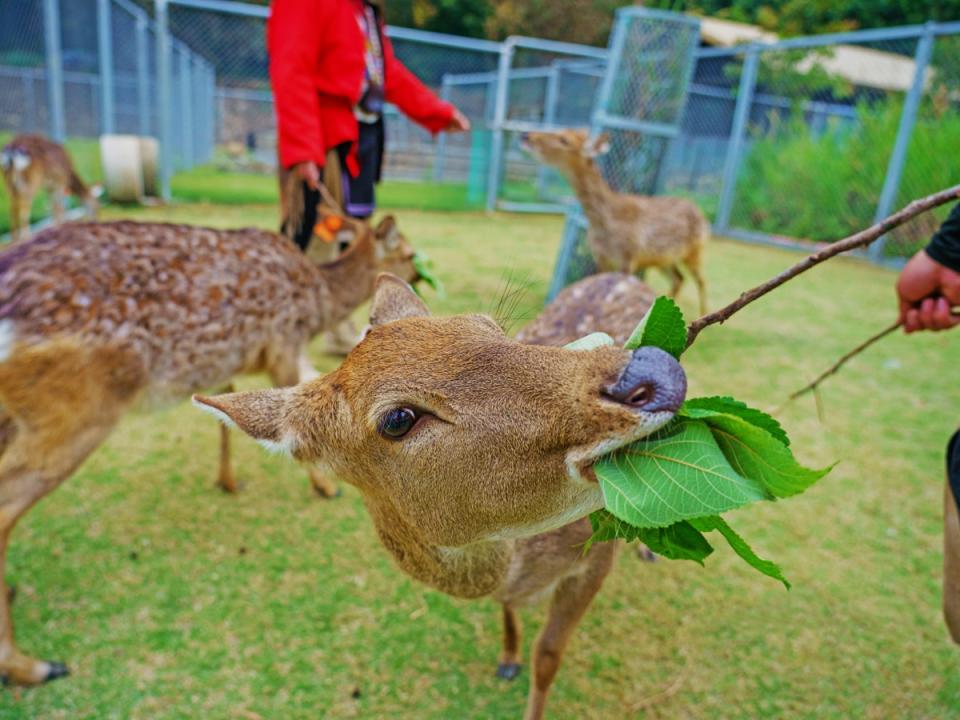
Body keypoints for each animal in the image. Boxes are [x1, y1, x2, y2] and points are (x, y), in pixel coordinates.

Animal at [0, 215, 420, 688]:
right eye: (408, 252)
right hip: (76, 408)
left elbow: (225, 407)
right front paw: (326, 487)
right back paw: (27, 665)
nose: (420, 275)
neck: (317, 299)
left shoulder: (232, 361)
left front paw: (227, 480)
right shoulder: (283, 341)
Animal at [197, 272, 688, 720]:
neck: (522, 570)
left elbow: (548, 656)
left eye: (491, 326)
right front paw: (506, 659)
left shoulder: (597, 556)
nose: (653, 369)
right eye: (397, 418)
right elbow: (510, 616)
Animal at [520, 129, 708, 316]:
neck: (604, 222)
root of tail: (701, 214)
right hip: (665, 259)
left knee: (701, 280)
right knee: (679, 279)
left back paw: (702, 314)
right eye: (562, 131)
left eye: (564, 139)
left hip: (695, 250)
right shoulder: (601, 257)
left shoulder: (629, 257)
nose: (527, 136)